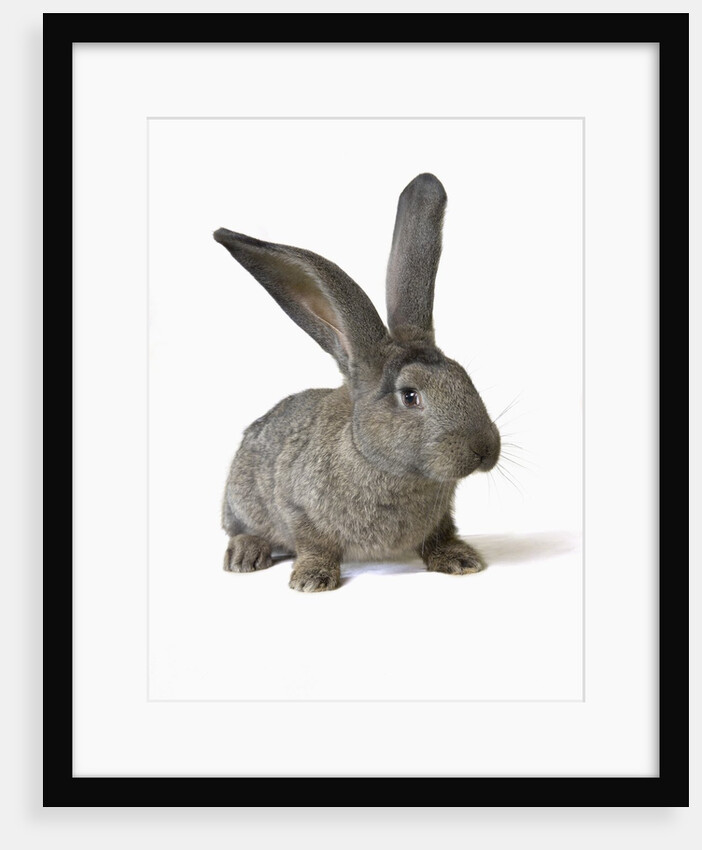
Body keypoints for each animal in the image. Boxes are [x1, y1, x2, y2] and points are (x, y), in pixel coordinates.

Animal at [213, 173, 500, 592]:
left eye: (464, 377)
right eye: (410, 396)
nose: (485, 448)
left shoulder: (441, 516)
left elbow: (440, 533)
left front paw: (460, 560)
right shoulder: (297, 506)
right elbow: (313, 542)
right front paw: (311, 579)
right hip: (242, 496)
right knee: (239, 527)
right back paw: (245, 554)